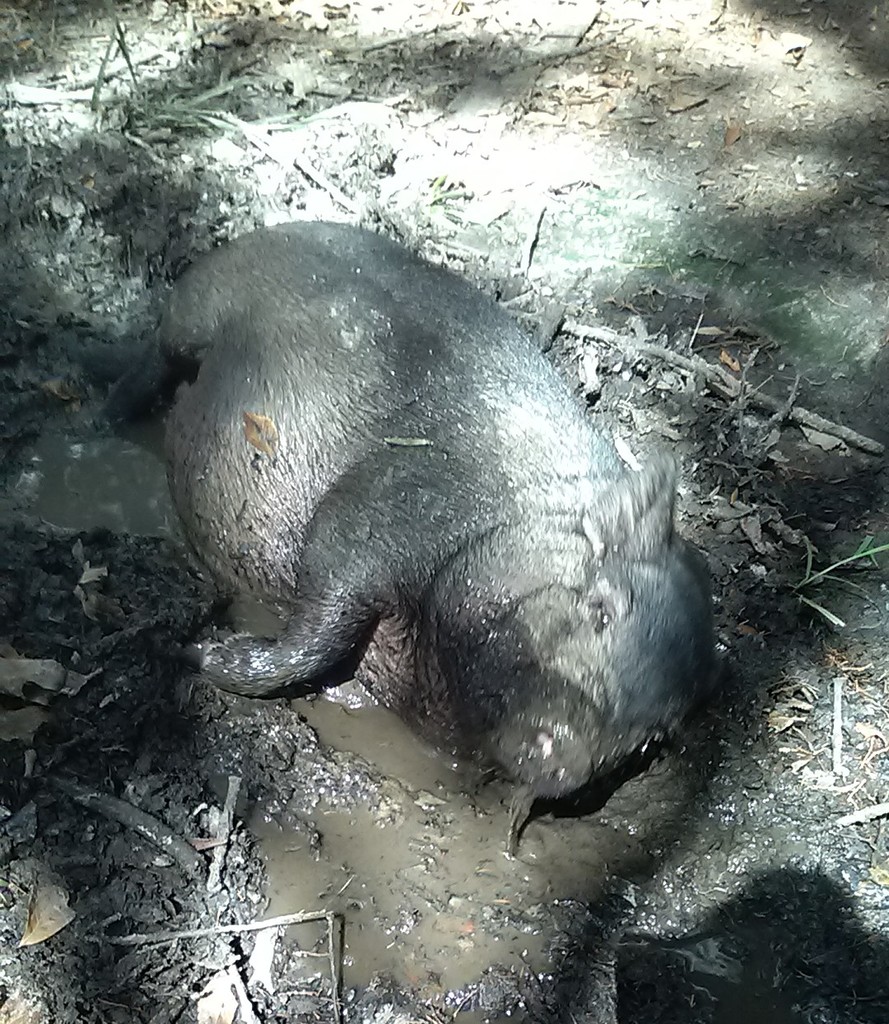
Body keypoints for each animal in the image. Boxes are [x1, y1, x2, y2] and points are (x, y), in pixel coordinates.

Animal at [150, 220, 716, 843]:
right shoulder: (370, 516)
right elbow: (319, 630)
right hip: (194, 311)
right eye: (601, 610)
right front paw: (197, 653)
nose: (564, 757)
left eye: (647, 740)